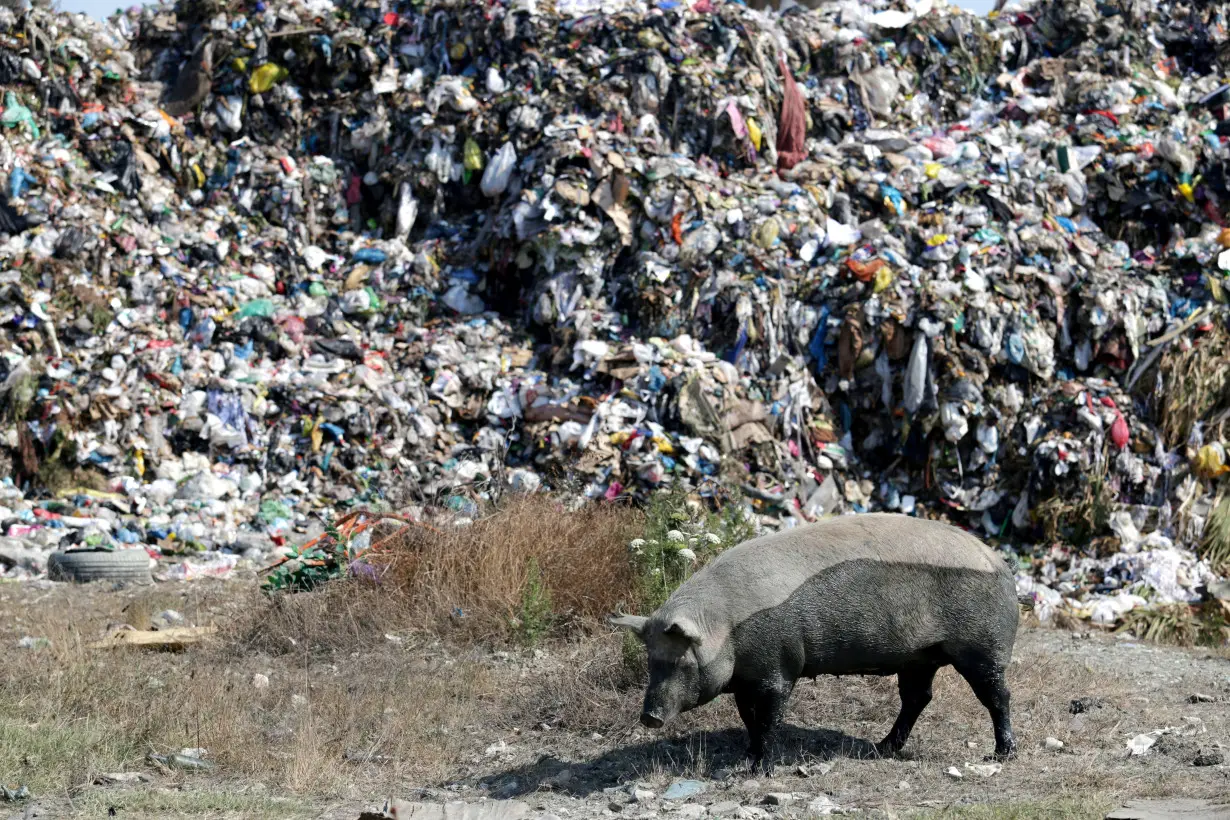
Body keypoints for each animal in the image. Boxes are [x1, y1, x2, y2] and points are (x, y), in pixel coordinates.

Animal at [610, 513, 1023, 772]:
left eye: (682, 661)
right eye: (651, 660)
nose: (649, 716)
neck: (725, 624)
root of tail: (1001, 564)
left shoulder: (779, 664)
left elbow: (770, 717)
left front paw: (758, 769)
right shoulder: (745, 677)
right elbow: (747, 717)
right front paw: (746, 757)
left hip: (982, 646)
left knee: (997, 695)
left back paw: (1002, 755)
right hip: (918, 657)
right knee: (918, 697)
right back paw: (881, 748)